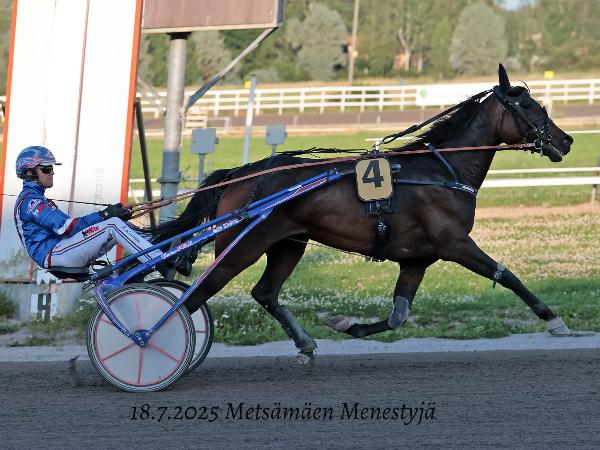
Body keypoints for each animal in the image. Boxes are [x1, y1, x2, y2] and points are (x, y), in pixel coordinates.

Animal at [149, 64, 574, 362]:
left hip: (288, 244)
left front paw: (344, 323)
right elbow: (507, 274)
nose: (566, 140)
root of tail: (242, 174)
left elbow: (398, 315)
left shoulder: (416, 259)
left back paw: (304, 343)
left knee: (264, 292)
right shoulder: (454, 243)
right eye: (528, 106)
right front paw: (554, 319)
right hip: (242, 247)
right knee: (194, 298)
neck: (441, 171)